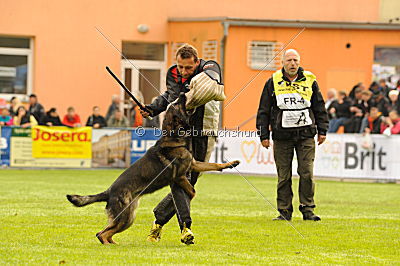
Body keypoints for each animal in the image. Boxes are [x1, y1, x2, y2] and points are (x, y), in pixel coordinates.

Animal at [67, 93, 239, 243]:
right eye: (176, 104)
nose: (182, 93)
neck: (173, 136)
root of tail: (109, 192)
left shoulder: (194, 164)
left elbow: (214, 165)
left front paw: (231, 164)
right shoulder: (179, 176)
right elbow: (192, 191)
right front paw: (190, 197)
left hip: (128, 218)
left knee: (105, 233)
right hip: (126, 217)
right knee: (101, 234)